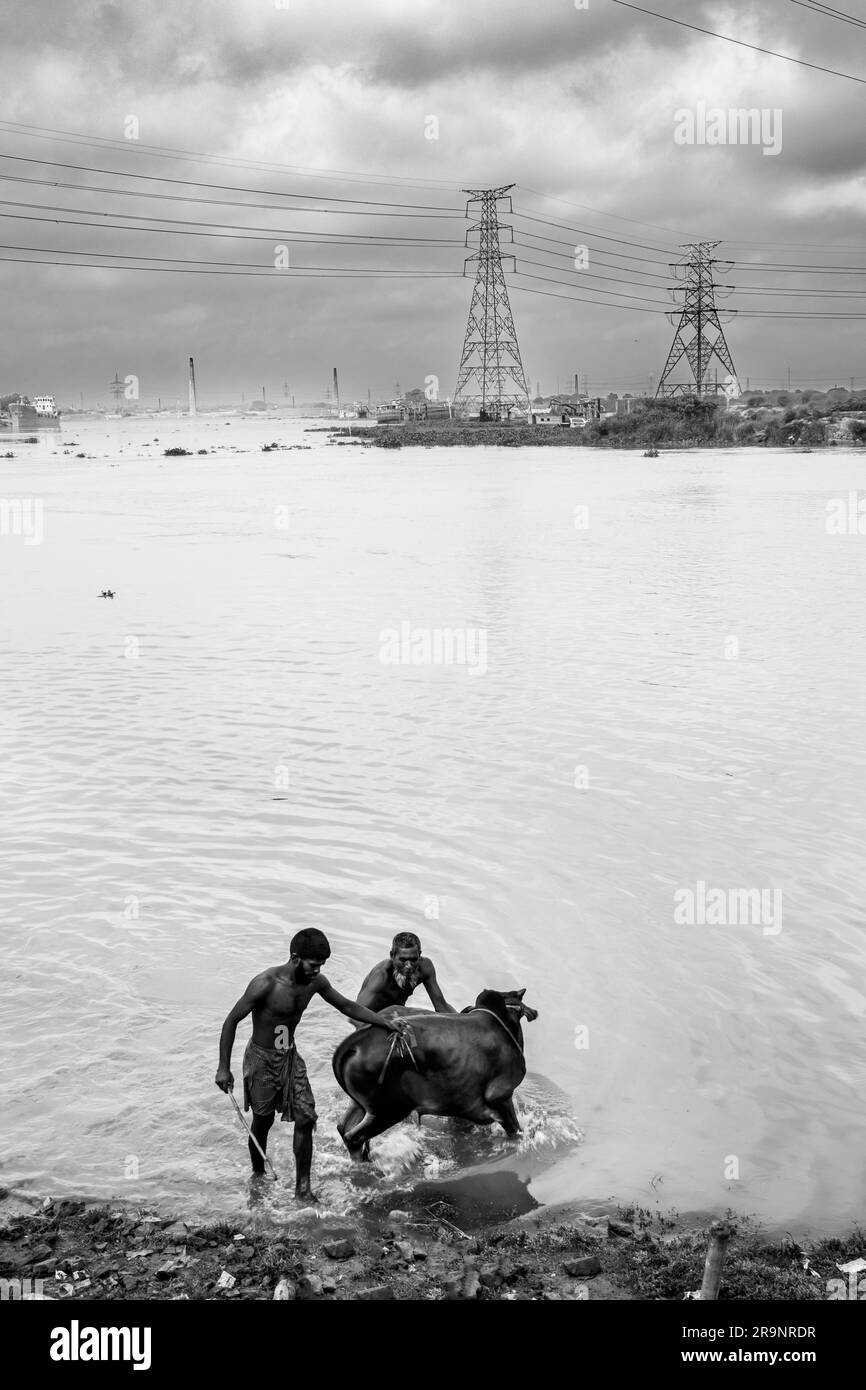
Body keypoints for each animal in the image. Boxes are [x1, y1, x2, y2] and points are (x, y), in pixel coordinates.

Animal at [332, 989, 536, 1162]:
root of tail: (357, 1040)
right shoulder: (501, 1097)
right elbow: (516, 1130)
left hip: (363, 1105)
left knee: (343, 1127)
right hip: (388, 1111)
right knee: (354, 1138)